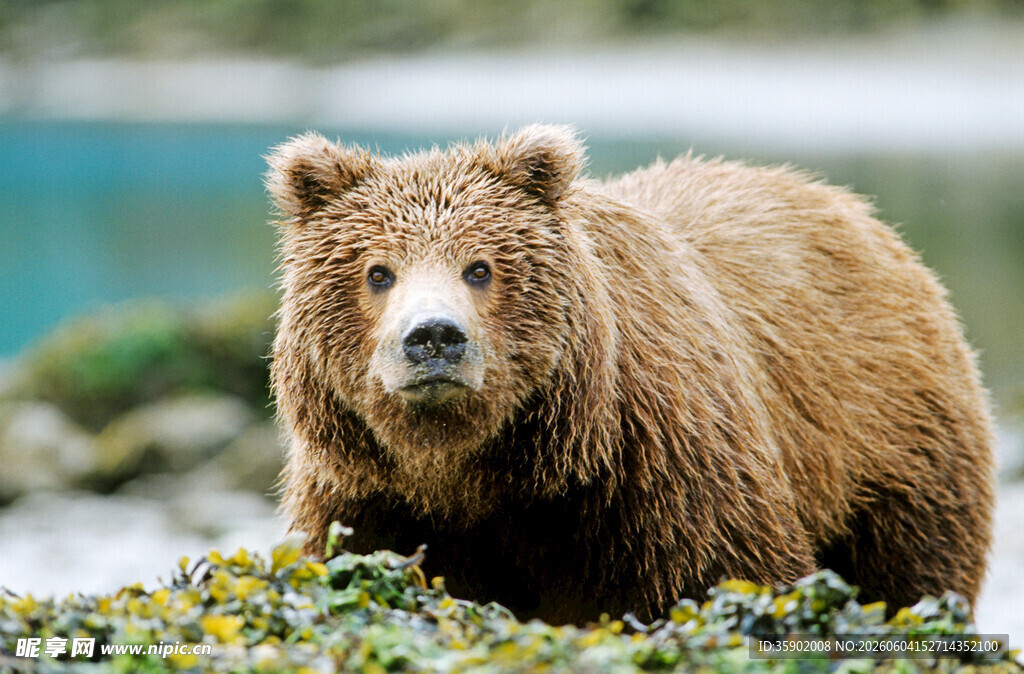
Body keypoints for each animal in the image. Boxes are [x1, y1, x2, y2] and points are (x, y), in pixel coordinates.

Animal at [265, 124, 995, 624]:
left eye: (480, 267)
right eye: (377, 271)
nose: (434, 338)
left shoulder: (661, 473)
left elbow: (727, 572)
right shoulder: (366, 496)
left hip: (892, 439)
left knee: (913, 567)